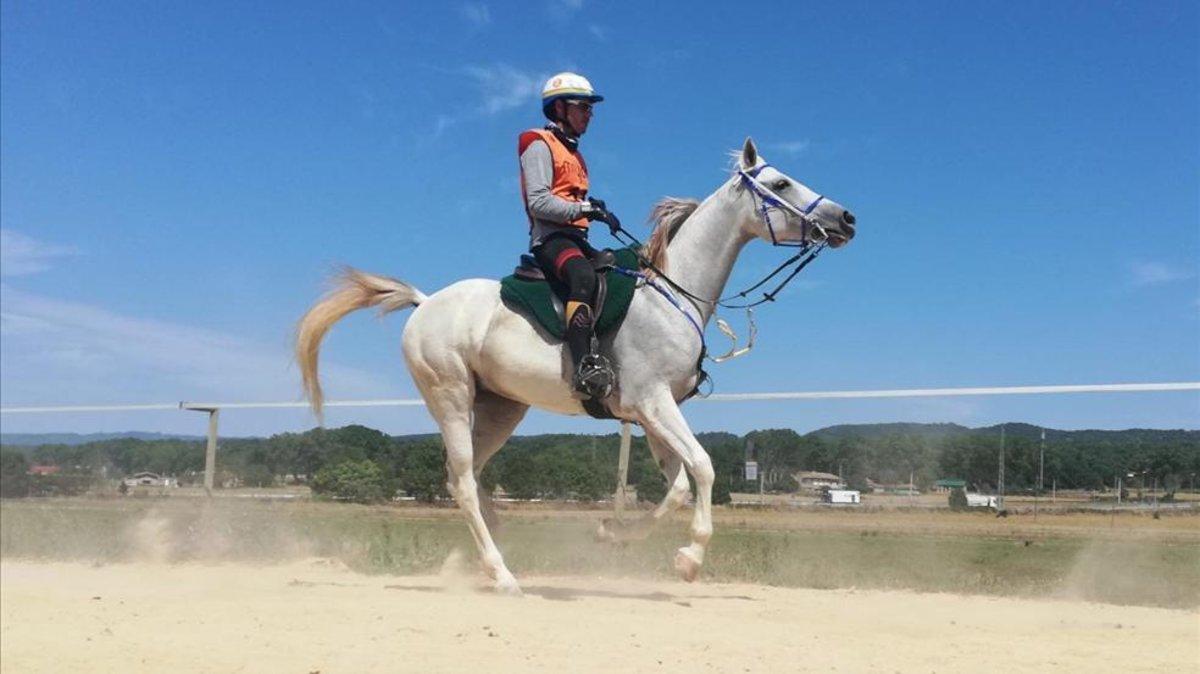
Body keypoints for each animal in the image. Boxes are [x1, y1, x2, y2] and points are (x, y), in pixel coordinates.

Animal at [296, 138, 856, 595]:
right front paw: (691, 558)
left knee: (466, 477)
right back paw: (501, 574)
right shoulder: (654, 402)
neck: (673, 294)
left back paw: (479, 557)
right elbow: (703, 467)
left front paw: (613, 533)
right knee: (463, 482)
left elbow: (676, 486)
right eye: (780, 183)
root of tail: (426, 301)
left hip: (501, 409)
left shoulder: (652, 412)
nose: (846, 219)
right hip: (450, 397)